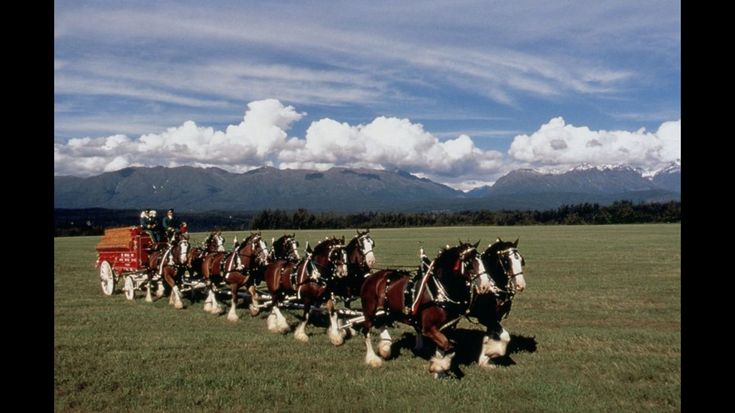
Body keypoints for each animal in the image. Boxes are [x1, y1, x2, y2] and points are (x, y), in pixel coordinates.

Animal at [360, 241, 492, 376]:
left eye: (482, 261)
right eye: (469, 263)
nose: (485, 286)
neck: (439, 290)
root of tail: (371, 277)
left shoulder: (446, 327)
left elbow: (443, 347)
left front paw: (438, 367)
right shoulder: (429, 328)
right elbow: (449, 346)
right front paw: (438, 367)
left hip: (387, 311)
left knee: (381, 323)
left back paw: (385, 348)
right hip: (369, 311)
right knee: (366, 331)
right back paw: (372, 359)